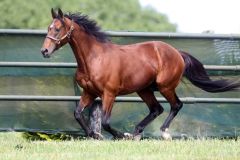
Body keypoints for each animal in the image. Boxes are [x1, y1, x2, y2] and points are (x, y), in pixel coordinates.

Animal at [40, 8, 239, 139]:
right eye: (48, 28)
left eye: (57, 28)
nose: (44, 51)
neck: (94, 59)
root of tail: (177, 52)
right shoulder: (89, 92)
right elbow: (77, 114)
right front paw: (96, 135)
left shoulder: (109, 94)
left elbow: (105, 121)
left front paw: (121, 135)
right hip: (144, 89)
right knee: (156, 109)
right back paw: (136, 132)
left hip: (165, 87)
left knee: (176, 105)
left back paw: (161, 133)